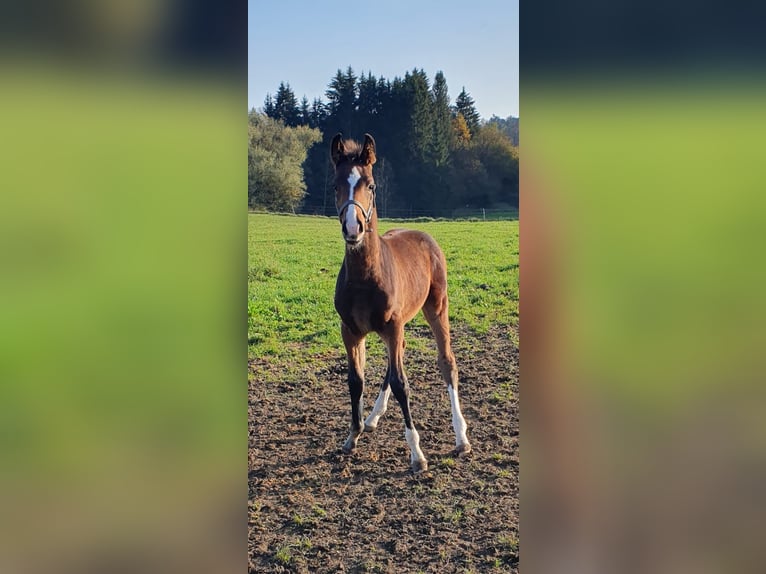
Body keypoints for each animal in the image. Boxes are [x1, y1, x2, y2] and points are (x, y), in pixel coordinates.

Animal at [332, 133, 472, 474]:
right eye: (335, 185)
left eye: (370, 185)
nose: (353, 228)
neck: (365, 277)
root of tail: (424, 234)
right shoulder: (350, 330)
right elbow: (355, 380)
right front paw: (353, 435)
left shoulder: (392, 327)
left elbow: (401, 383)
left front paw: (417, 454)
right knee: (397, 359)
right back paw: (372, 418)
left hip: (436, 307)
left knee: (447, 362)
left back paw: (461, 437)